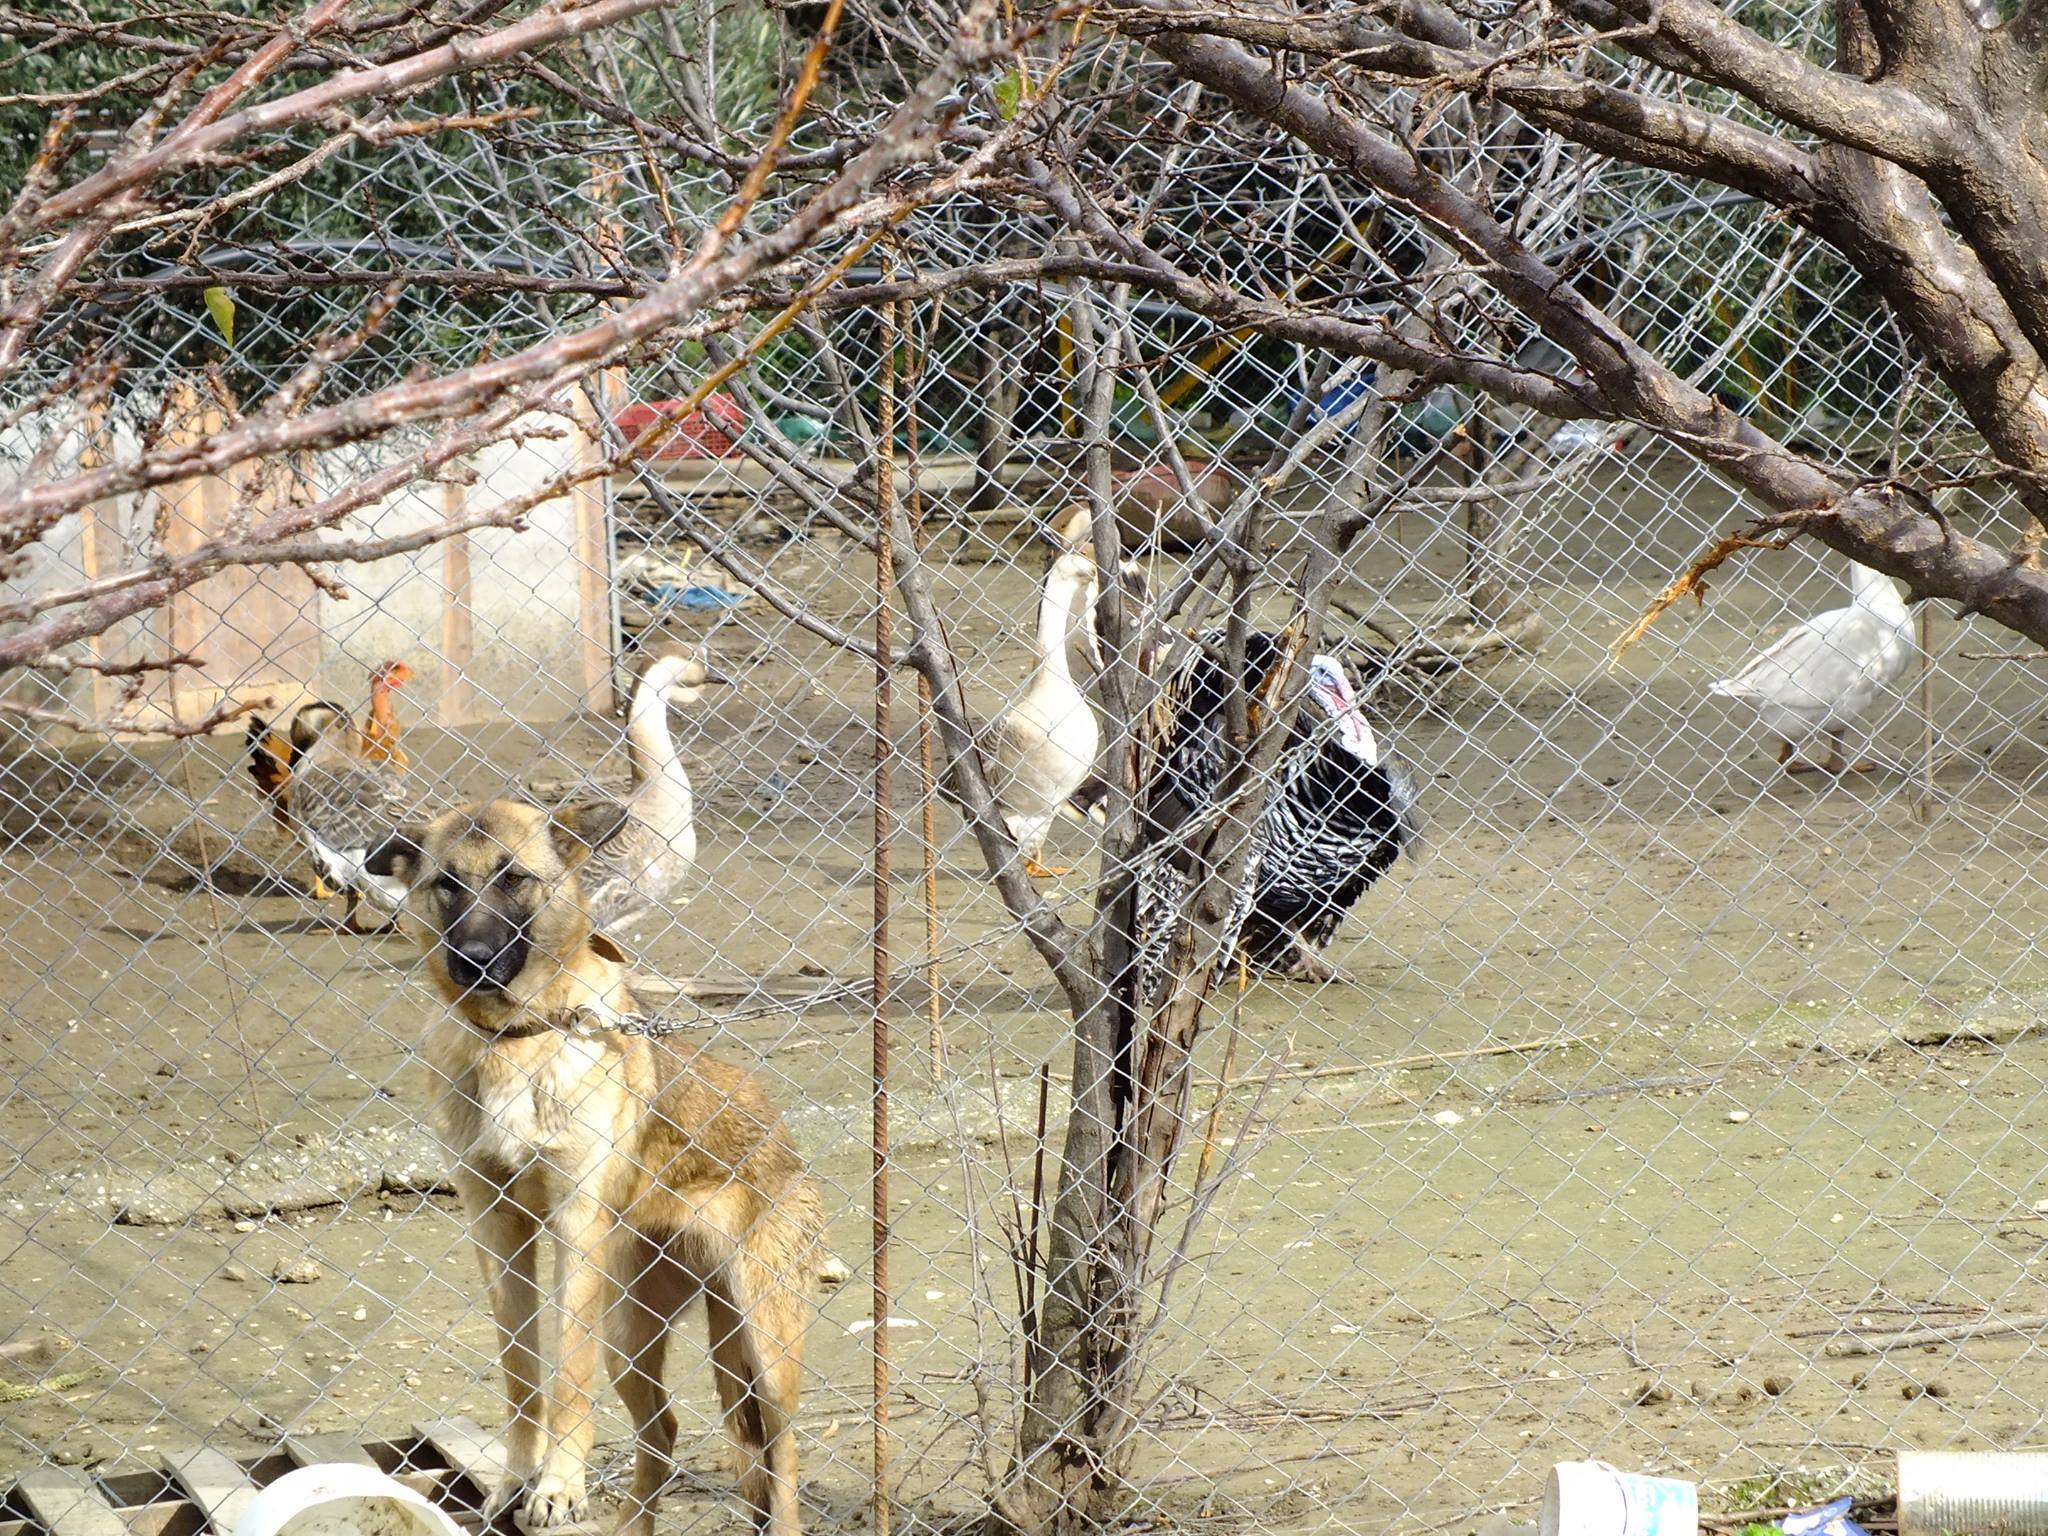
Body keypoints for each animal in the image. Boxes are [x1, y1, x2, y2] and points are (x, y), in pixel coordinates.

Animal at [368, 798, 823, 1536]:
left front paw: (558, 1486)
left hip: (765, 1346)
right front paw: (519, 1480)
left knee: (779, 1458)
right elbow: (522, 1371)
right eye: (447, 884)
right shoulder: (495, 1227)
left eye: (515, 878)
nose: (472, 961)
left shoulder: (576, 1224)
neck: (519, 1038)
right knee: (662, 1435)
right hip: (632, 1337)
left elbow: (567, 1375)